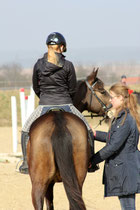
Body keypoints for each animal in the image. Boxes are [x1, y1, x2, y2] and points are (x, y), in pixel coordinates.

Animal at [27, 68, 110, 209]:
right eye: (103, 91)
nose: (111, 109)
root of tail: (58, 122)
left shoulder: (49, 183)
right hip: (77, 179)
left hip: (39, 182)